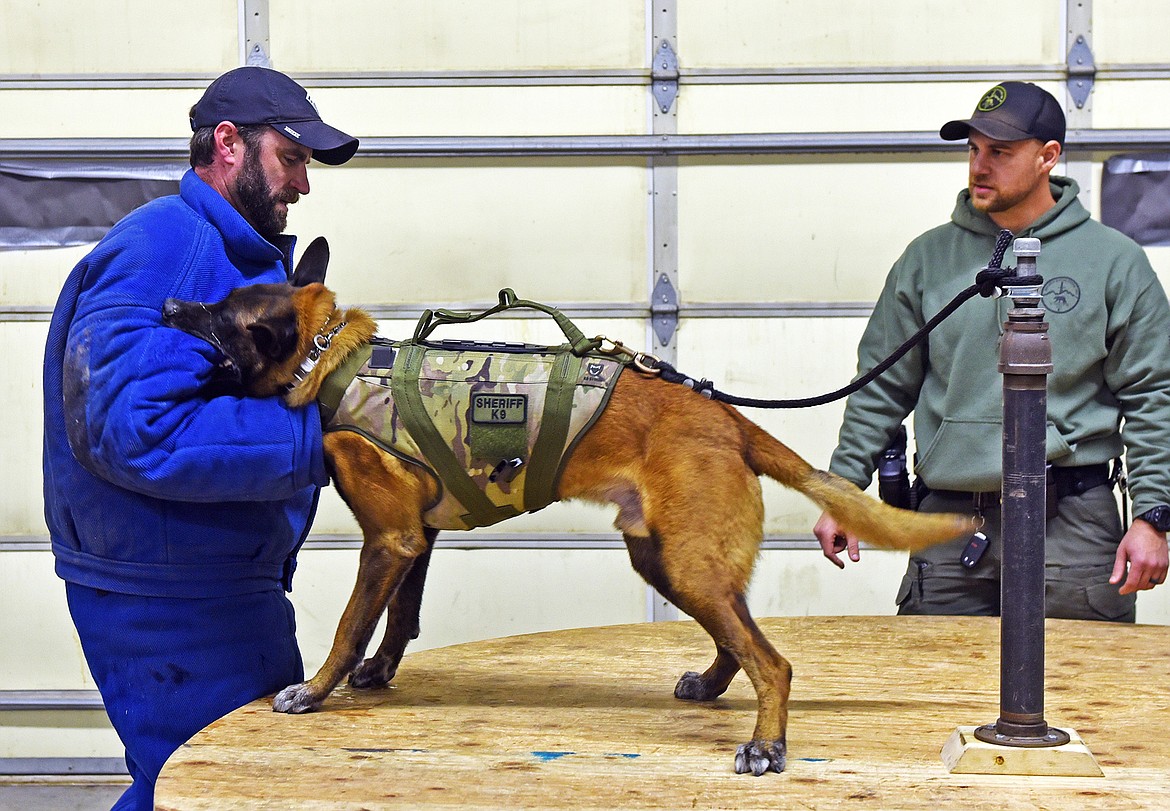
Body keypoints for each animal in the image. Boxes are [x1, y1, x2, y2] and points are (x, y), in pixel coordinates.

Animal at [162, 238, 968, 772]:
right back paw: (712, 683)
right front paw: (381, 671)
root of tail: (729, 418)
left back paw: (767, 742)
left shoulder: (388, 539)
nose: (169, 302)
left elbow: (348, 626)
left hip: (686, 562)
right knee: (738, 636)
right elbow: (397, 618)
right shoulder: (415, 540)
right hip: (670, 558)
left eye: (217, 318)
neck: (336, 361)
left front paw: (314, 690)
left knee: (774, 661)